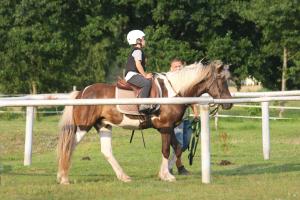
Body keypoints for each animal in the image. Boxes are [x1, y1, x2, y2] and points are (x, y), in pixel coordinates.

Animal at [57, 59, 233, 184]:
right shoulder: (165, 127)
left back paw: (123, 176)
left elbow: (177, 148)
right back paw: (63, 177)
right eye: (220, 79)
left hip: (104, 126)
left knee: (106, 151)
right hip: (83, 127)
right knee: (69, 146)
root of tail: (81, 93)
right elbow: (166, 150)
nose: (229, 103)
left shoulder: (168, 128)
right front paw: (166, 175)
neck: (174, 92)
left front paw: (164, 173)